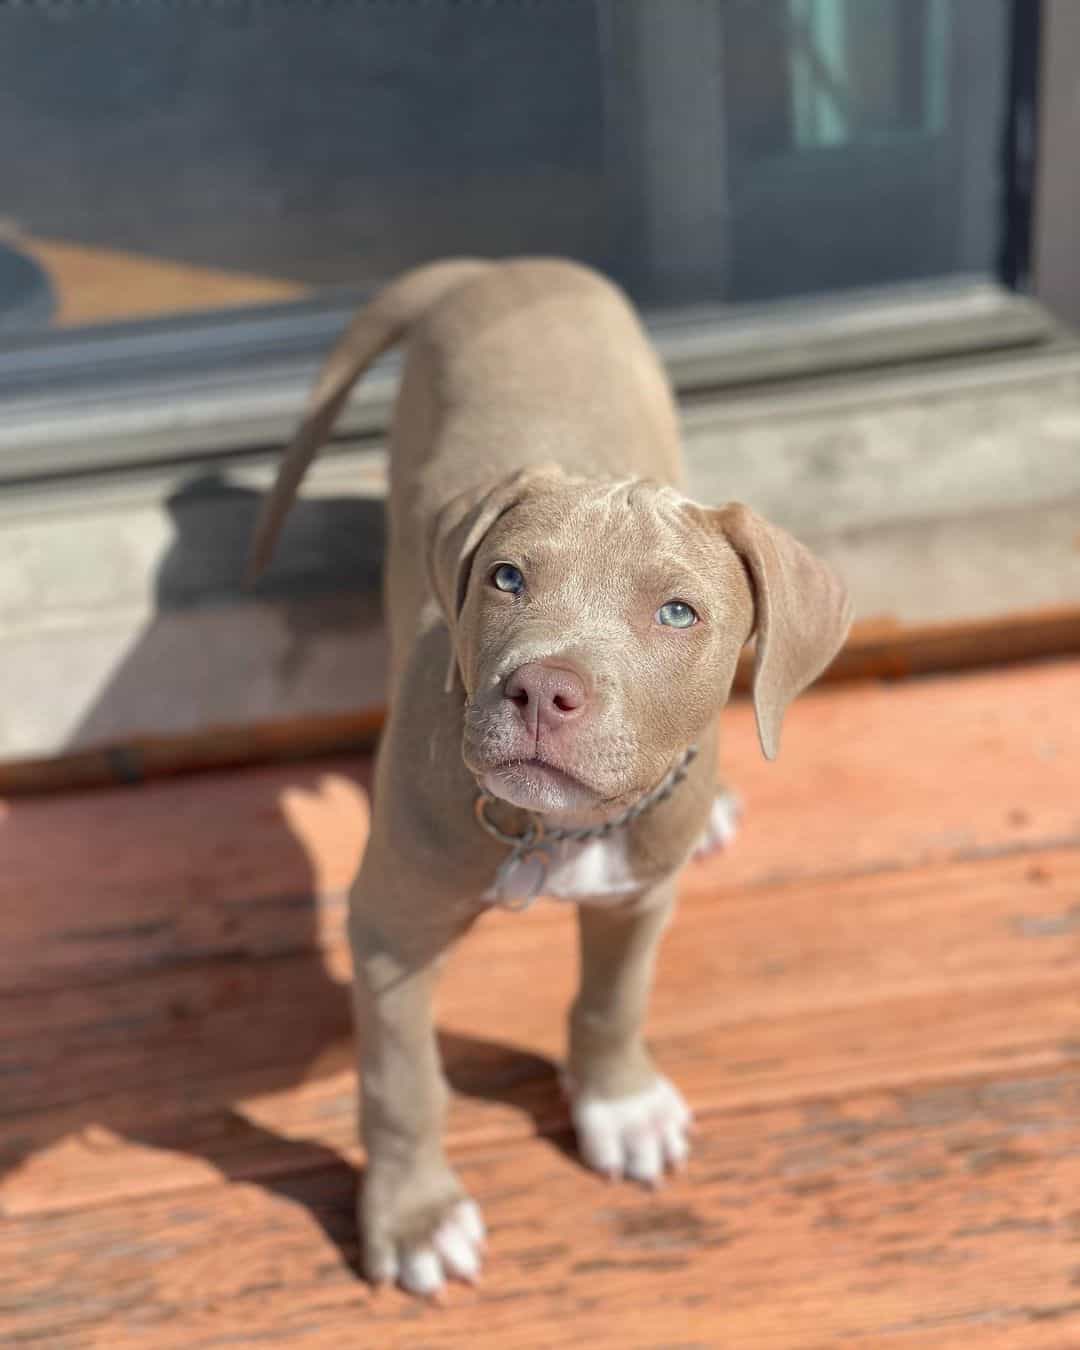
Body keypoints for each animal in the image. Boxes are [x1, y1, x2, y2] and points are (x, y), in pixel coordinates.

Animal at [251, 255, 853, 1296]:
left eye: (679, 613)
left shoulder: (638, 893)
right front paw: (414, 1219)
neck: (555, 832)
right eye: (506, 579)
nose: (542, 690)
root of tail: (504, 265)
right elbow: (403, 1083)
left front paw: (620, 1103)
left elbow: (613, 1000)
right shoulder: (391, 930)